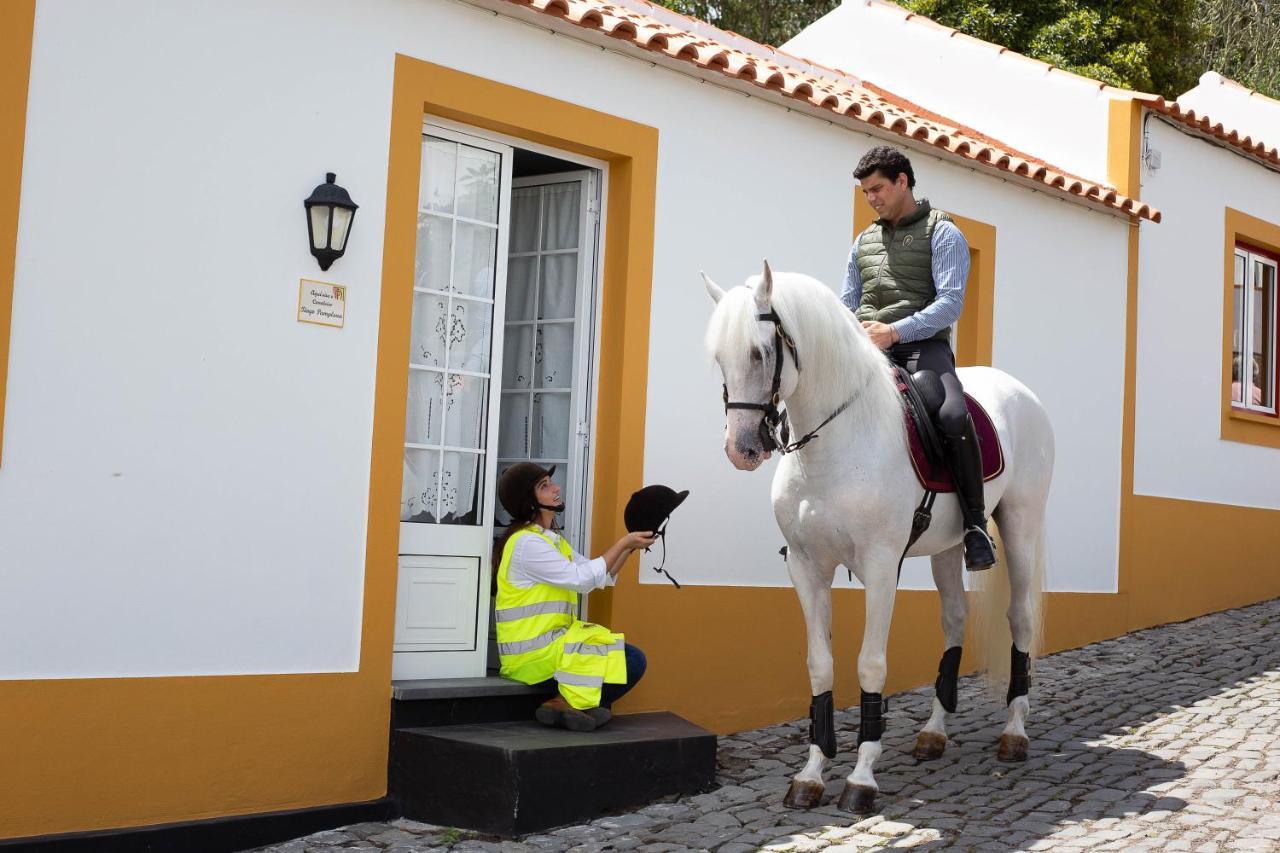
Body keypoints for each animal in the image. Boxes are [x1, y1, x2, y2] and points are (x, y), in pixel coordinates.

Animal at [706, 258, 1054, 809]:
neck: (832, 446)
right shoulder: (806, 566)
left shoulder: (880, 565)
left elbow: (870, 665)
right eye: (719, 357)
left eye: (760, 352)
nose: (742, 449)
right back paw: (934, 732)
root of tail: (1021, 393)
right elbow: (820, 665)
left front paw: (861, 778)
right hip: (947, 548)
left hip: (1021, 523)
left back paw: (1014, 734)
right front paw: (811, 775)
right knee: (954, 620)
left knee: (1020, 619)